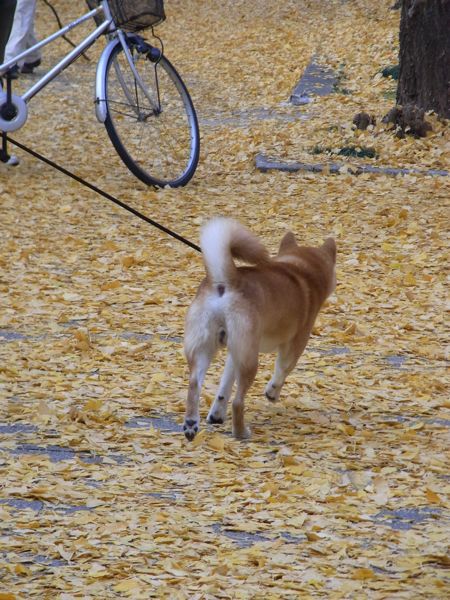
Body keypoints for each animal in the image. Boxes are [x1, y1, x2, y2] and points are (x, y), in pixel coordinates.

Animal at [182, 219, 334, 440]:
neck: (300, 269)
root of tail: (227, 281)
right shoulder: (293, 347)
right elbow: (282, 371)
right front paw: (272, 392)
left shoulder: (234, 354)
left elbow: (224, 388)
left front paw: (217, 415)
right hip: (250, 361)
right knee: (238, 402)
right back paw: (241, 433)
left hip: (210, 349)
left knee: (194, 384)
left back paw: (191, 424)